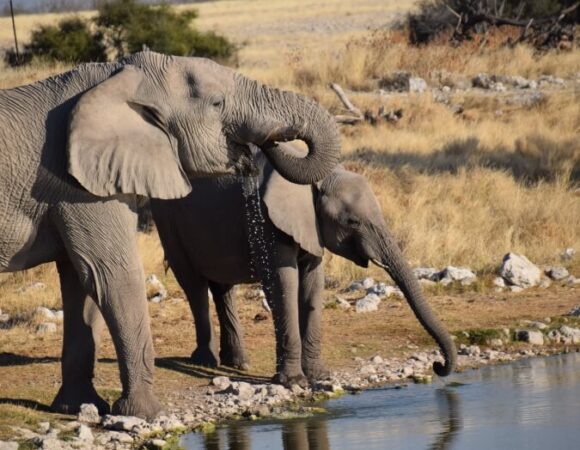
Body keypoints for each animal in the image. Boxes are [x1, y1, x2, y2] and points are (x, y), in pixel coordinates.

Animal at [0, 50, 340, 418]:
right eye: (217, 103)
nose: (268, 142)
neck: (116, 76)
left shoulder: (76, 186)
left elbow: (81, 282)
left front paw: (80, 407)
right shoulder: (78, 188)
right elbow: (111, 274)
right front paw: (146, 414)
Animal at [151, 146, 458, 384]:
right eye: (352, 222)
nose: (438, 366)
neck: (318, 177)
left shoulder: (311, 227)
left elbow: (313, 282)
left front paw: (319, 376)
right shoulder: (268, 220)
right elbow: (284, 283)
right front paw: (294, 382)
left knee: (224, 289)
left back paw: (238, 363)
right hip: (168, 221)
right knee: (194, 286)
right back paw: (206, 361)